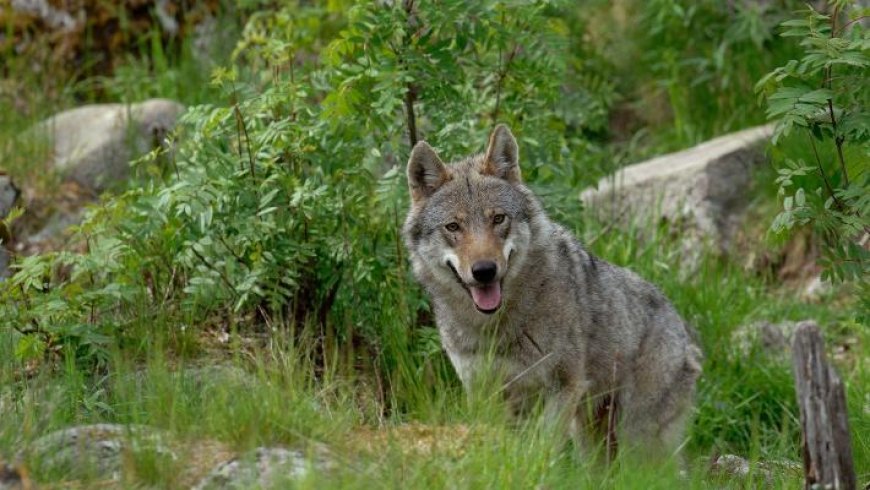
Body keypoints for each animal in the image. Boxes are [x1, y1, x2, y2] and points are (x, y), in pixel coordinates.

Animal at [406, 124, 704, 462]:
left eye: (498, 219)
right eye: (453, 227)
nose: (484, 271)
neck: (496, 328)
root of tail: (683, 327)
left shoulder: (563, 387)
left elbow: (542, 450)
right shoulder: (486, 395)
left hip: (636, 438)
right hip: (591, 436)